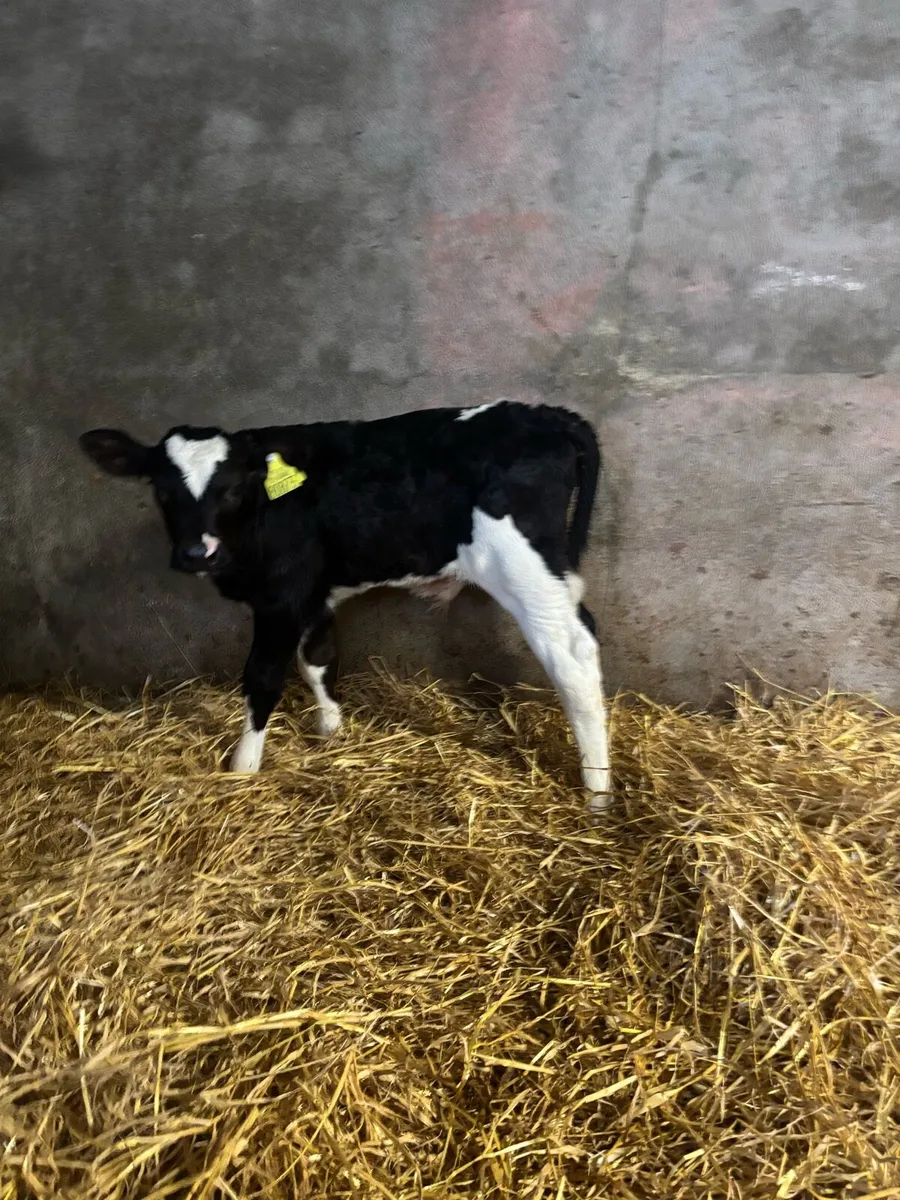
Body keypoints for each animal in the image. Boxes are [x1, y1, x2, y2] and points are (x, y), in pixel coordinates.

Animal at [79, 400, 611, 810]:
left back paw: (598, 794)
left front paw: (243, 767)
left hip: (524, 566)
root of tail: (547, 414)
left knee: (573, 654)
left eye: (230, 489)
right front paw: (330, 733)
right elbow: (318, 660)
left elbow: (263, 678)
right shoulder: (314, 594)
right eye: (162, 490)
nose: (196, 553)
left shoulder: (280, 598)